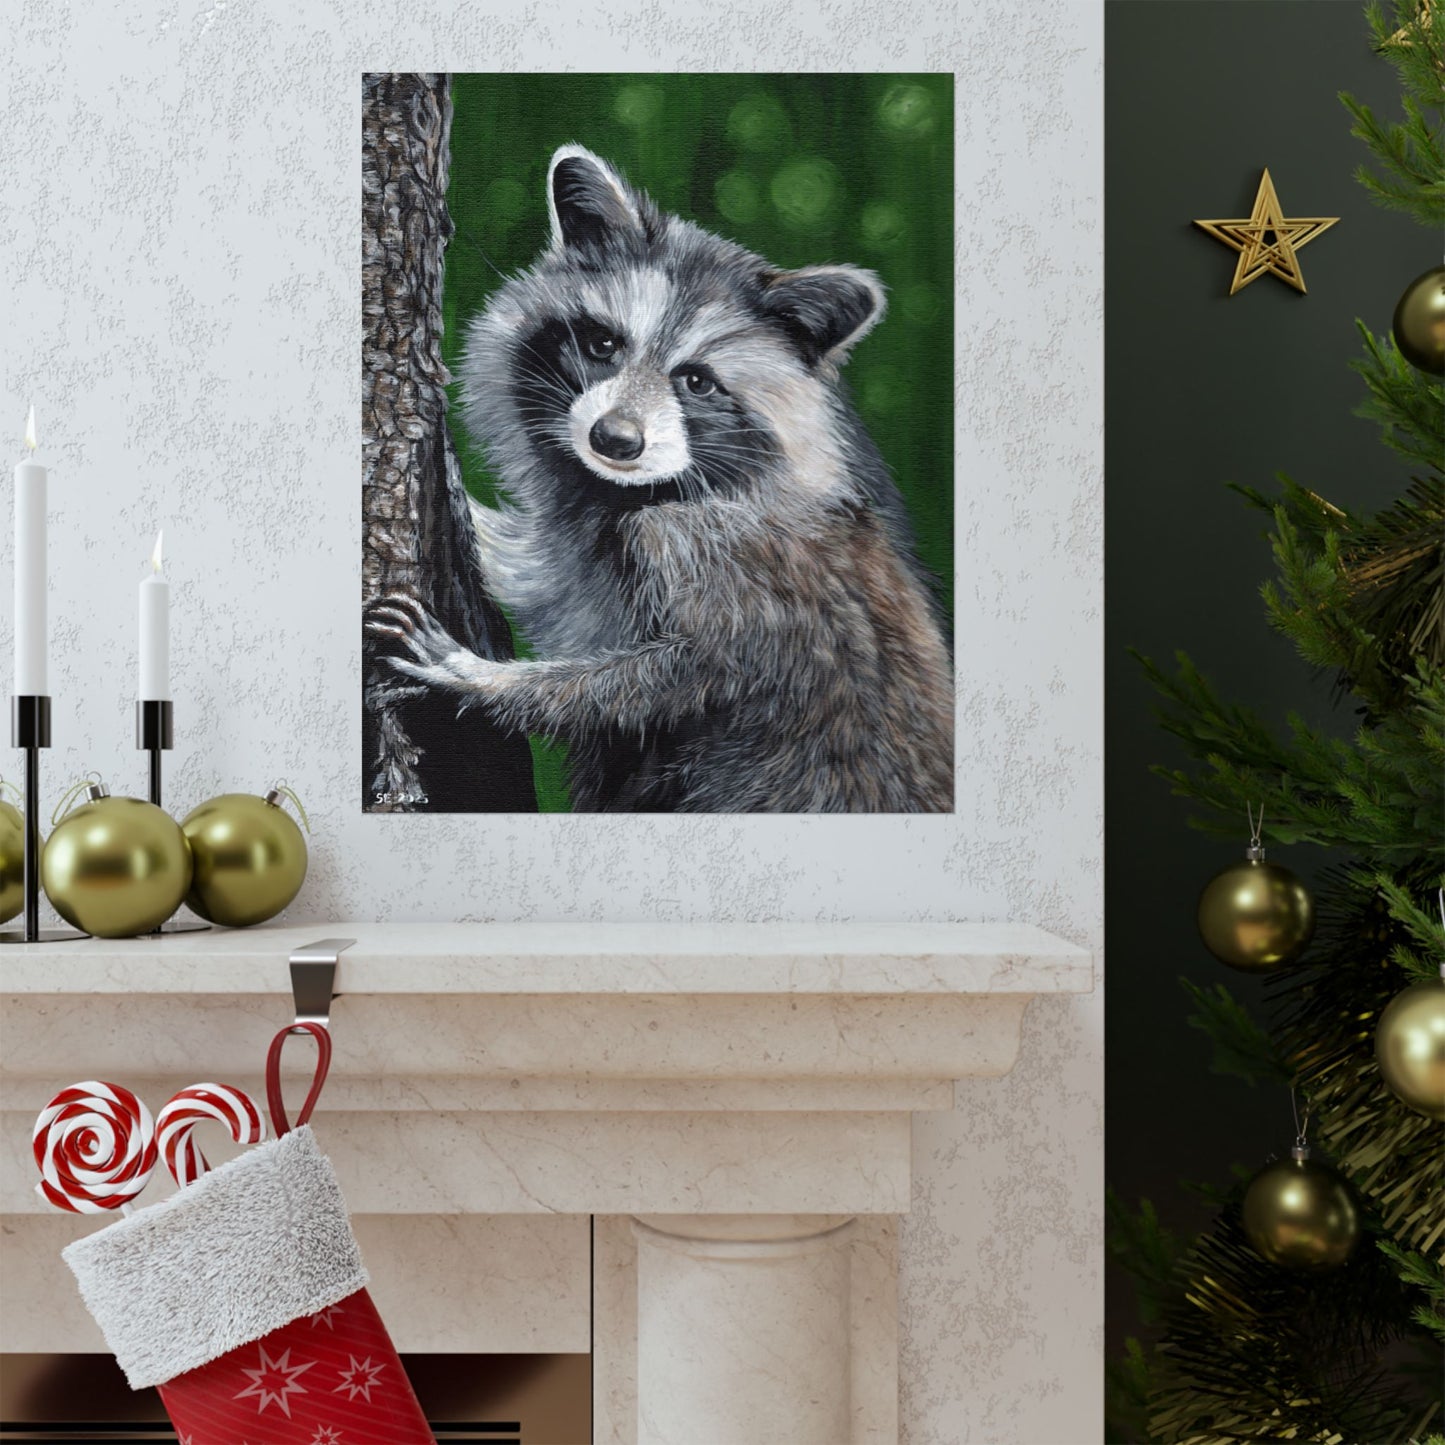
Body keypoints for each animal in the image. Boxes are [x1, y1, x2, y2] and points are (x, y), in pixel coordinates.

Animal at [369, 145, 954, 813]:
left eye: (697, 382)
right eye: (602, 344)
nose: (615, 440)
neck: (634, 491)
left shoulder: (727, 559)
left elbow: (678, 676)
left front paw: (484, 680)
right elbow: (542, 573)